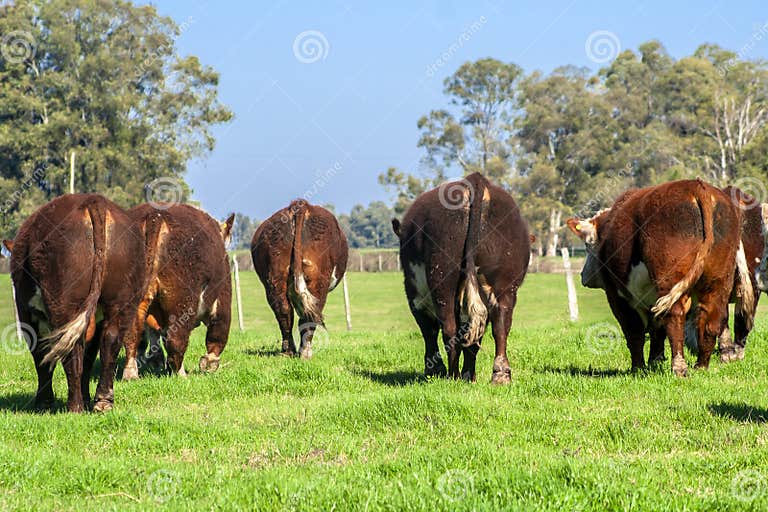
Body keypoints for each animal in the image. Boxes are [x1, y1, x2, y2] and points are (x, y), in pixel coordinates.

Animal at [4, 194, 146, 414]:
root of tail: (93, 201)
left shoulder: (28, 314)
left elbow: (41, 356)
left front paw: (44, 403)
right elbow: (89, 355)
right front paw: (86, 399)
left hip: (64, 303)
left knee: (72, 351)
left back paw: (75, 406)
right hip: (121, 301)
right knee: (110, 341)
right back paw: (101, 402)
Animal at [120, 204, 232, 380]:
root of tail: (155, 215)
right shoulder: (223, 298)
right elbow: (217, 334)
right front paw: (210, 362)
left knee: (132, 334)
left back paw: (131, 373)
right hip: (183, 302)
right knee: (176, 340)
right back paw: (180, 374)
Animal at [252, 198, 348, 358]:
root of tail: (300, 206)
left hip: (275, 277)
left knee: (284, 310)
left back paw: (288, 351)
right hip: (318, 280)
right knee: (311, 312)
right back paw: (305, 352)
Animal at [392, 173, 532, 384]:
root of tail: (476, 181)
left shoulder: (416, 296)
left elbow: (429, 331)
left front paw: (435, 370)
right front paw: (469, 374)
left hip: (442, 282)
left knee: (449, 328)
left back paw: (453, 375)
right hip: (505, 286)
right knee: (500, 325)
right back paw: (499, 375)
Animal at [564, 180, 756, 376]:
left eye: (588, 244)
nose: (584, 276)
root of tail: (697, 186)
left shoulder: (617, 296)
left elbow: (634, 332)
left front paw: (638, 368)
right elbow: (657, 330)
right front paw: (654, 362)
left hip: (669, 282)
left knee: (674, 316)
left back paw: (679, 367)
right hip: (717, 282)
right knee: (710, 319)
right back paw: (701, 366)